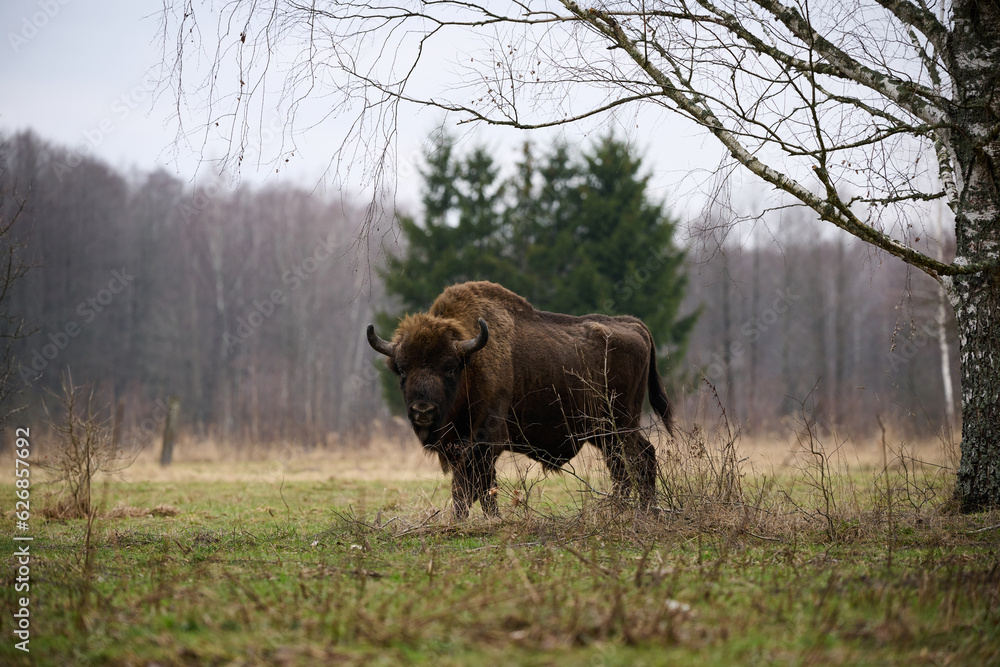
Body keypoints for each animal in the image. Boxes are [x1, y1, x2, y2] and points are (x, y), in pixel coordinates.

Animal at [367, 281, 673, 518]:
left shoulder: (484, 443)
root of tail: (634, 324)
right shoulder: (458, 447)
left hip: (620, 425)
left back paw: (637, 510)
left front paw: (490, 520)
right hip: (605, 432)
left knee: (637, 460)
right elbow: (466, 489)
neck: (472, 361)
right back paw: (632, 510)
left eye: (450, 367)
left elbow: (477, 488)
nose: (423, 411)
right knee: (631, 462)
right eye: (402, 369)